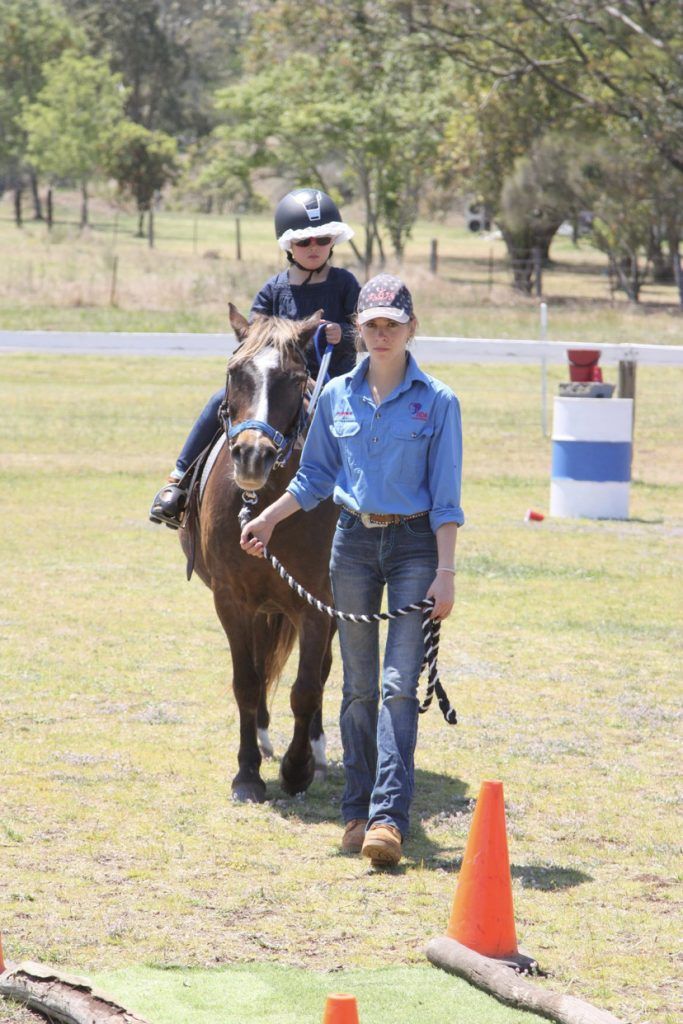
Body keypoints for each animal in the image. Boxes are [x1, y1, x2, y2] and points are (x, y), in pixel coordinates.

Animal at [181, 304, 339, 803]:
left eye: (296, 377)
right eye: (235, 372)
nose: (253, 456)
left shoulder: (316, 606)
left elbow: (307, 687)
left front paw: (297, 769)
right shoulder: (231, 600)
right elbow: (247, 683)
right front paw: (247, 773)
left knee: (321, 672)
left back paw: (316, 751)